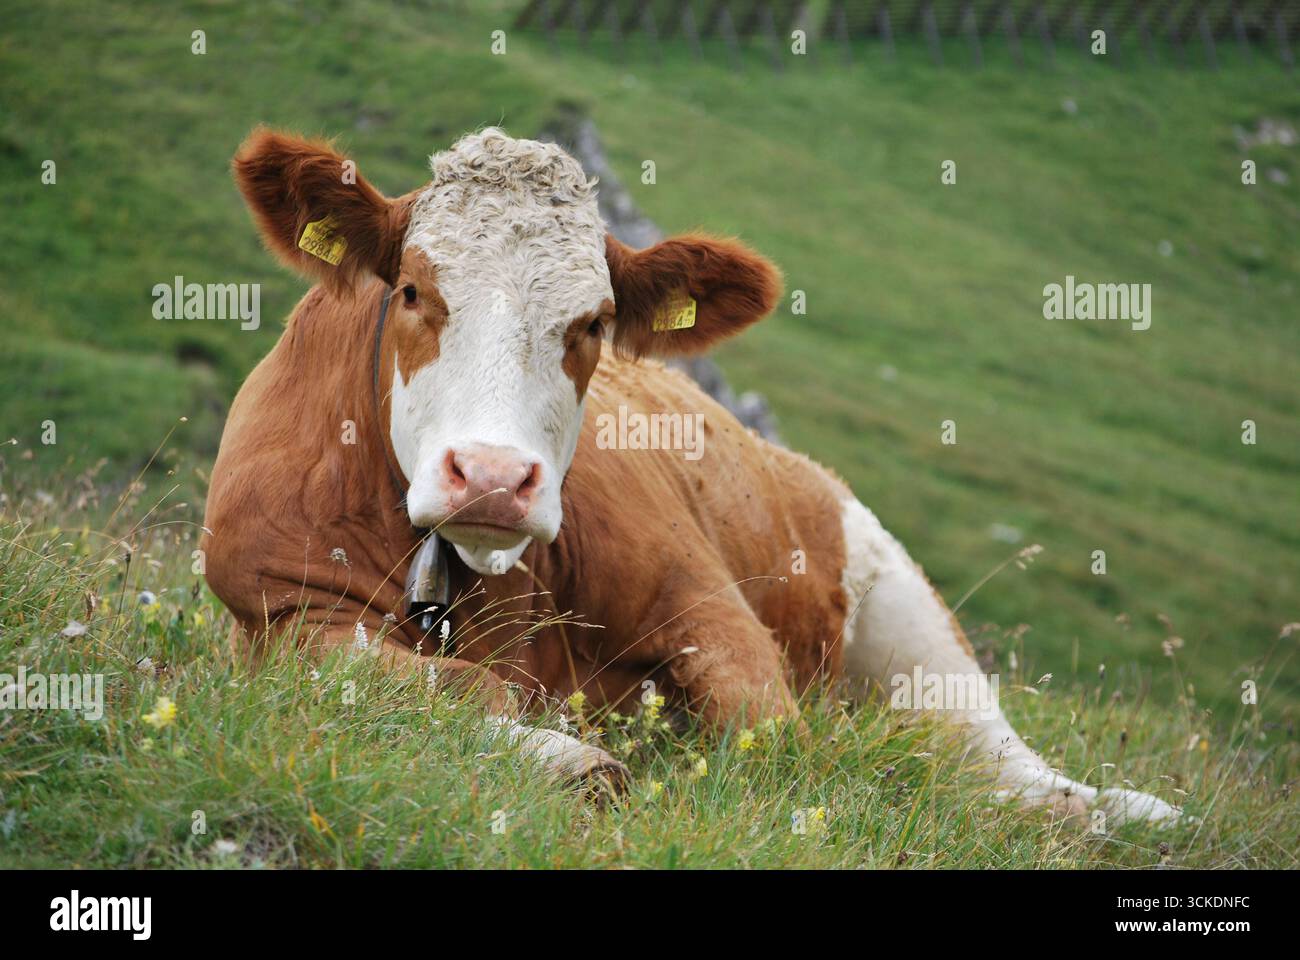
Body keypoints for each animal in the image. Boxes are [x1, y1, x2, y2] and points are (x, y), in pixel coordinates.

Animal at [202, 126, 1182, 825]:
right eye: (411, 290)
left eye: (593, 322)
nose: (493, 476)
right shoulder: (283, 615)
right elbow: (428, 687)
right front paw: (564, 756)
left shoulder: (705, 601)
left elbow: (771, 737)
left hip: (908, 613)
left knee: (995, 759)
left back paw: (1122, 814)